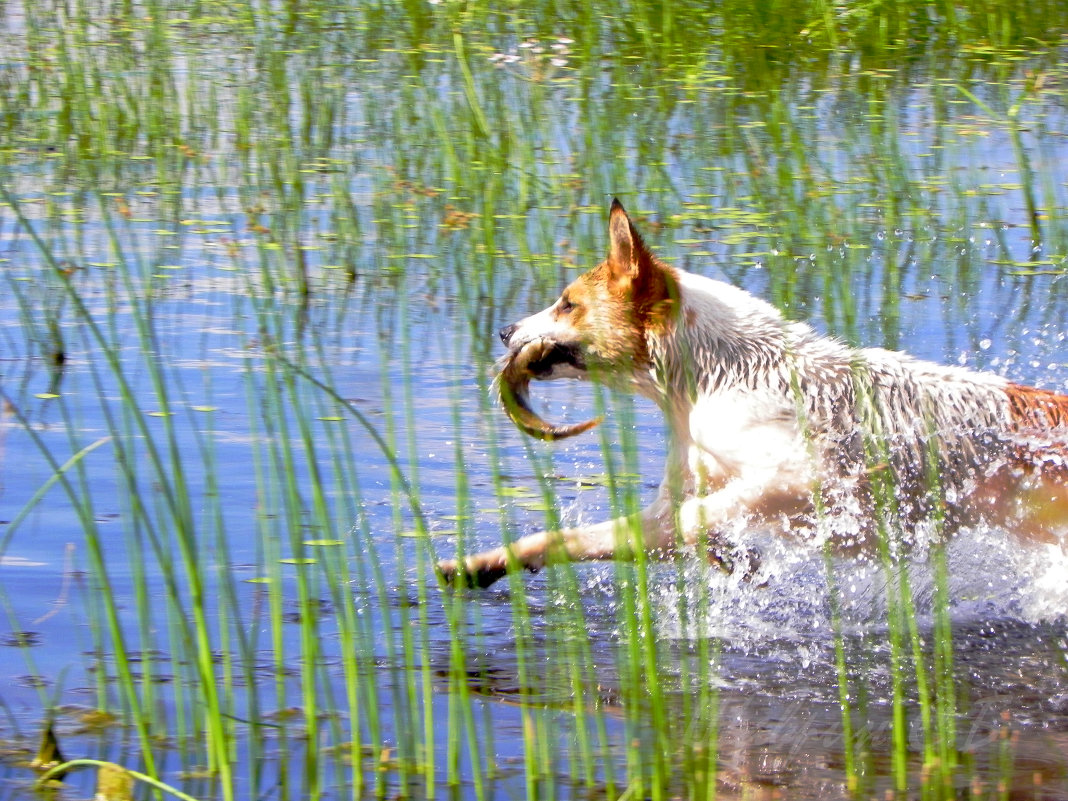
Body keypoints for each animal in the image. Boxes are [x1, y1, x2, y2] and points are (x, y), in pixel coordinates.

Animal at [435, 200, 1068, 589]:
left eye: (567, 304)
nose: (505, 333)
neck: (716, 377)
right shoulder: (659, 516)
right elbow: (565, 537)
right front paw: (479, 564)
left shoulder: (803, 476)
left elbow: (698, 517)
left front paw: (732, 554)